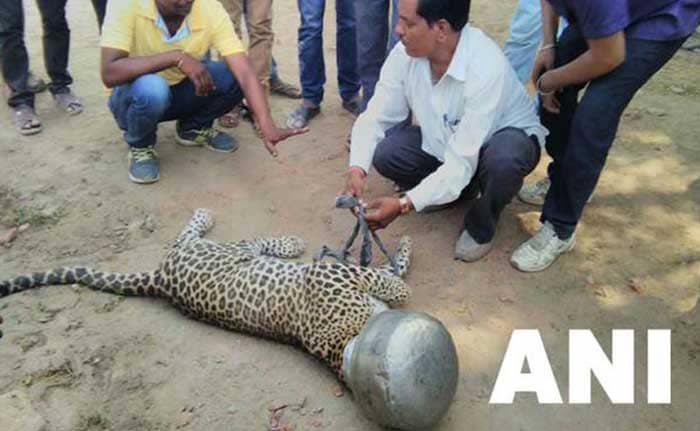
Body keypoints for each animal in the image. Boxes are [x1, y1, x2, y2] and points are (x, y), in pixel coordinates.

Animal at [0, 209, 410, 378]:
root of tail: (160, 281)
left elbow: (387, 270)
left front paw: (402, 250)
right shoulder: (331, 274)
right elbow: (385, 278)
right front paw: (403, 278)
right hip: (230, 249)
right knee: (197, 237)